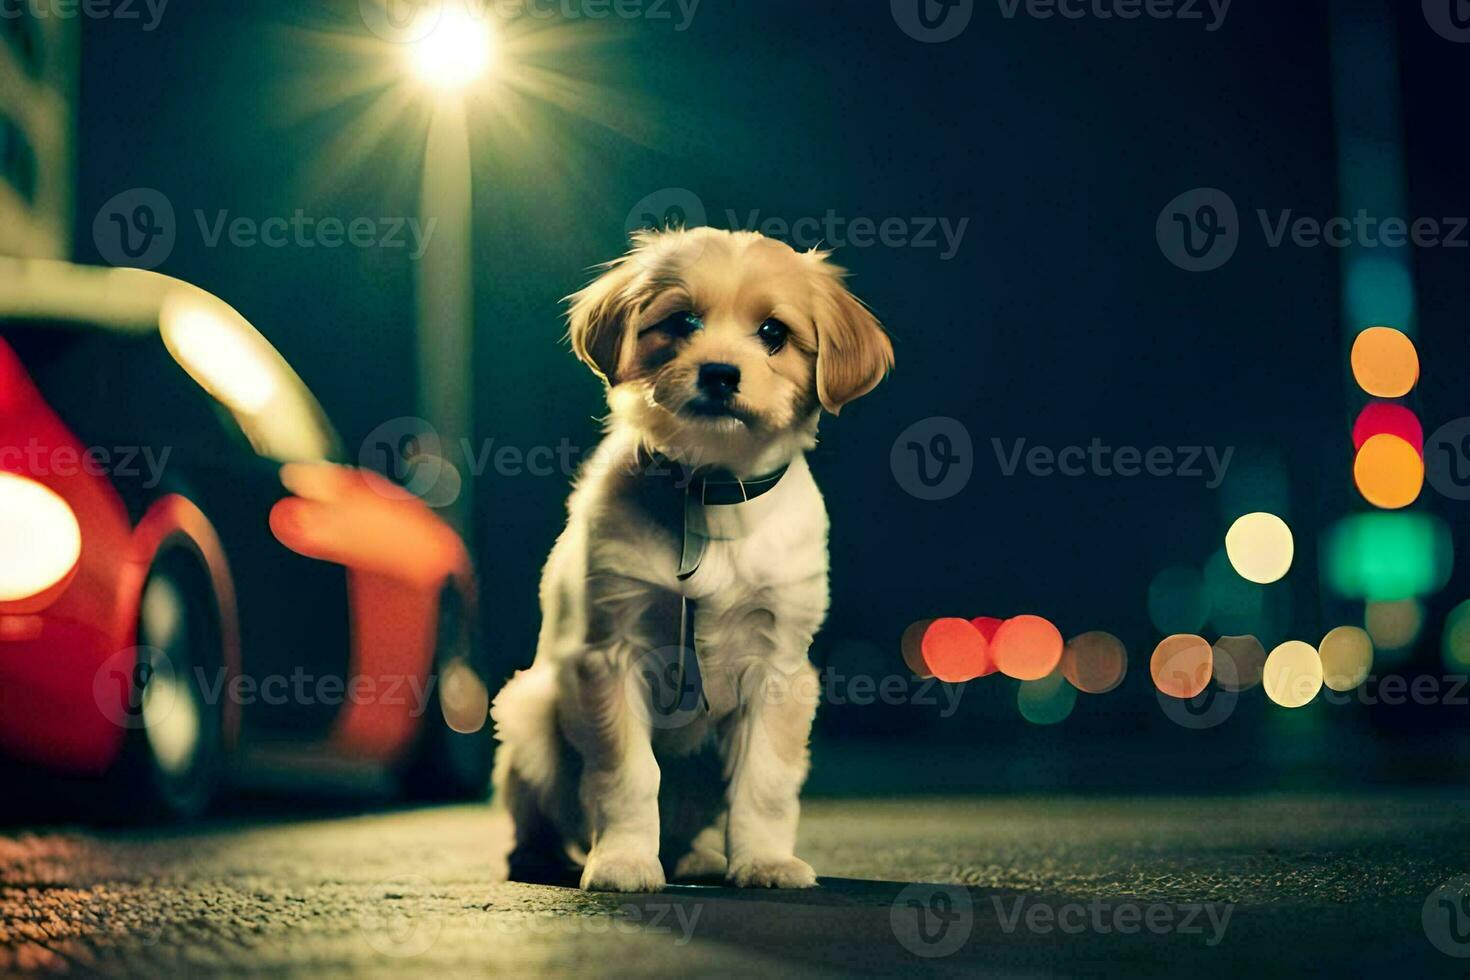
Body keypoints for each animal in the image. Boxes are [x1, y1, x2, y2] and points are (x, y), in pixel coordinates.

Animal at [488, 226, 887, 893]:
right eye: (681, 322)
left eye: (773, 333)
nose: (721, 373)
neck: (710, 490)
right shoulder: (610, 655)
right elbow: (628, 776)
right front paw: (623, 860)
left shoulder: (780, 667)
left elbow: (764, 783)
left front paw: (764, 861)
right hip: (531, 711)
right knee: (538, 813)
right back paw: (540, 858)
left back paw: (693, 856)